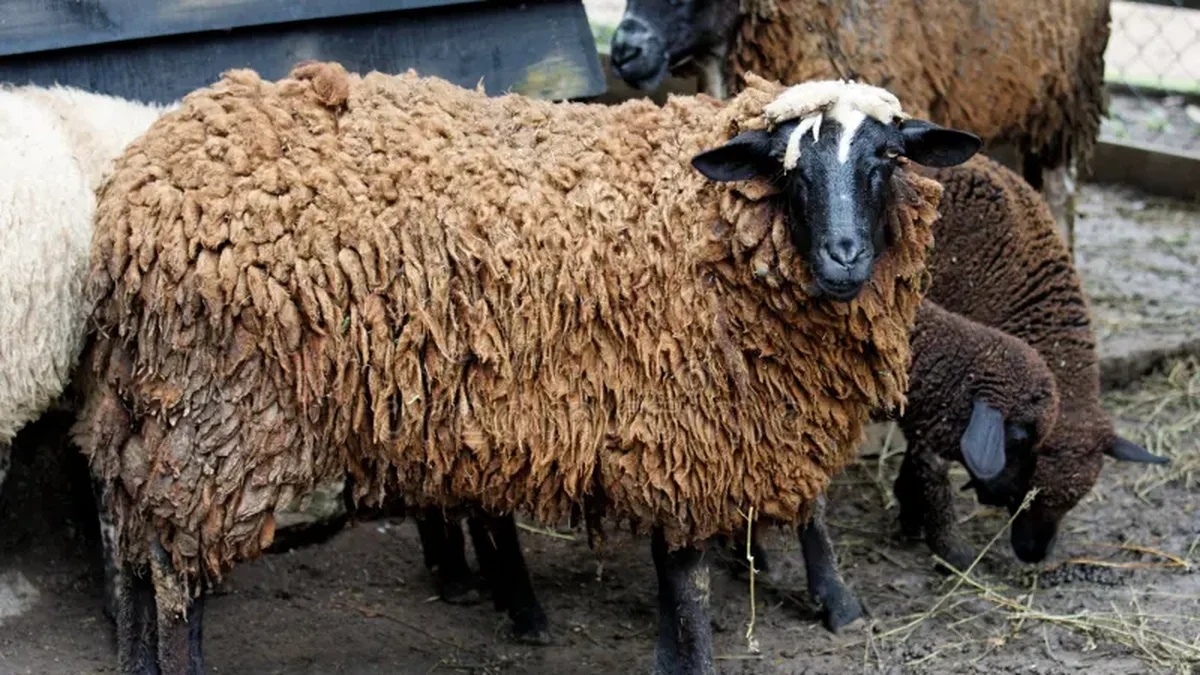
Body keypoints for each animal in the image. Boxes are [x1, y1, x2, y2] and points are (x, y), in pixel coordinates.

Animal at [72, 63, 981, 673]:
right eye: (792, 167)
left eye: (886, 159)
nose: (845, 257)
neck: (704, 224)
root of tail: (135, 185)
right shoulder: (680, 424)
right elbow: (689, 581)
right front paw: (701, 651)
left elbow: (698, 565)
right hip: (217, 407)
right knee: (172, 566)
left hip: (148, 397)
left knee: (128, 533)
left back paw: (136, 659)